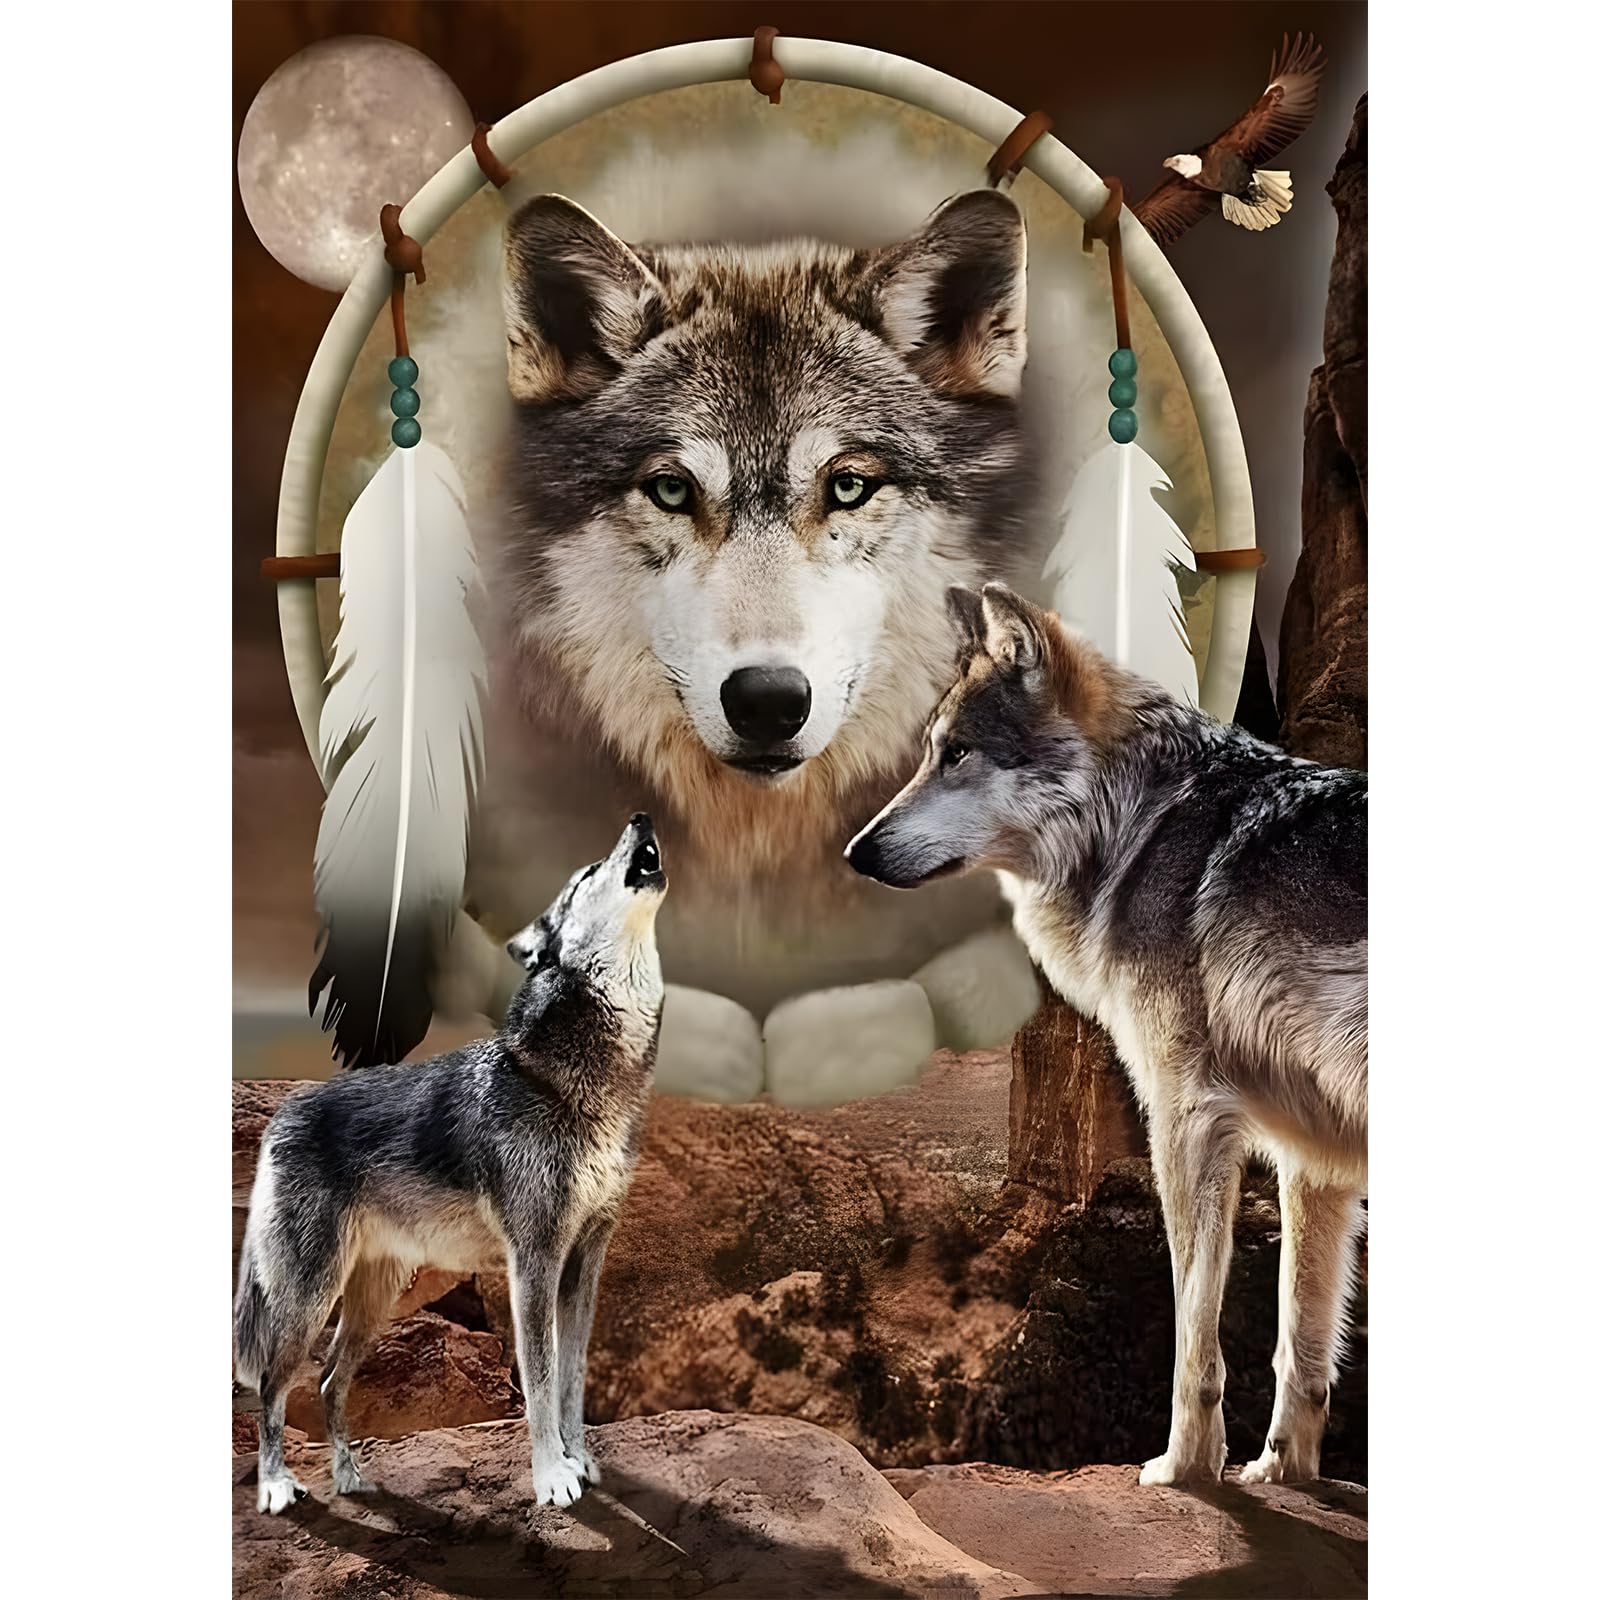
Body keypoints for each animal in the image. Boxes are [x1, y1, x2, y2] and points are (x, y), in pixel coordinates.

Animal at [235, 815, 667, 1513]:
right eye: (586, 874)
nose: (641, 817)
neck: (578, 1081)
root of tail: (282, 1113)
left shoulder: (586, 1260)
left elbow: (572, 1377)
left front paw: (580, 1459)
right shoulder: (534, 1260)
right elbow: (540, 1382)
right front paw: (553, 1477)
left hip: (372, 1302)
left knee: (326, 1380)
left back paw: (350, 1478)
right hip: (310, 1295)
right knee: (273, 1382)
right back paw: (277, 1485)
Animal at [848, 584, 1367, 1485]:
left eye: (958, 754)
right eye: (929, 753)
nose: (856, 850)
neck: (1138, 824)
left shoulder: (1187, 1119)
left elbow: (1195, 1332)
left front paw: (1185, 1469)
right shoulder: (1315, 1158)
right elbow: (1300, 1348)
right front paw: (1280, 1473)